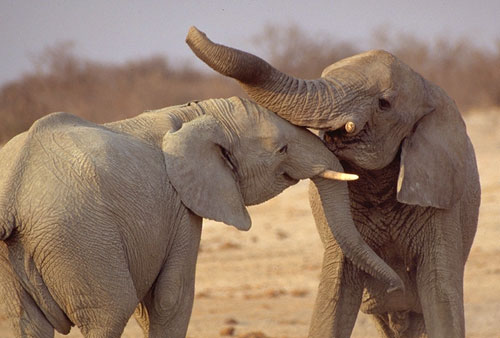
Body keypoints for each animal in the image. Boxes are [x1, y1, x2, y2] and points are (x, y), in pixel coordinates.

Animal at [0, 95, 366, 338]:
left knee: (22, 323)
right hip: (78, 235)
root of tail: (11, 193)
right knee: (108, 313)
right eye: (282, 149)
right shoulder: (180, 207)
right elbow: (170, 299)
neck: (195, 112)